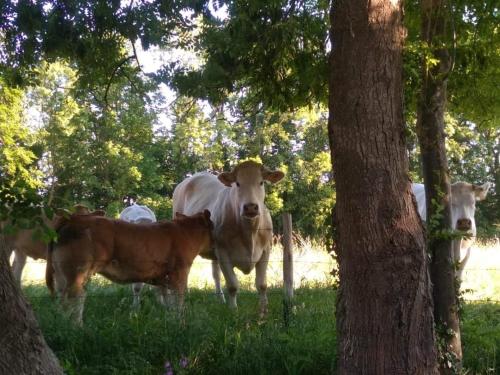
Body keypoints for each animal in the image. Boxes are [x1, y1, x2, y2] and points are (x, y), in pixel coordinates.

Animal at [47, 210, 216, 324]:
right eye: (214, 227)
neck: (185, 232)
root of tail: (73, 218)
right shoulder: (180, 273)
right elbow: (178, 302)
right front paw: (179, 323)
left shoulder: (164, 279)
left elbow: (168, 301)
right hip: (77, 274)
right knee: (72, 301)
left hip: (62, 276)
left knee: (65, 301)